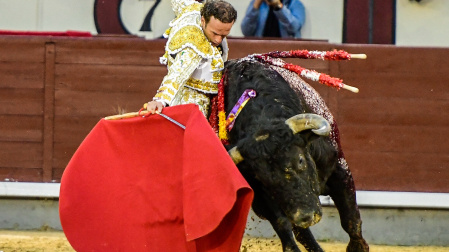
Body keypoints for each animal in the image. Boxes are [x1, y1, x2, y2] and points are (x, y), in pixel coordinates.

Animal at [223, 59, 368, 252]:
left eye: (300, 160)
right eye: (264, 179)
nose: (305, 217)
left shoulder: (340, 170)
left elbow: (351, 220)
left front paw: (358, 247)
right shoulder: (260, 193)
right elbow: (284, 228)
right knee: (299, 233)